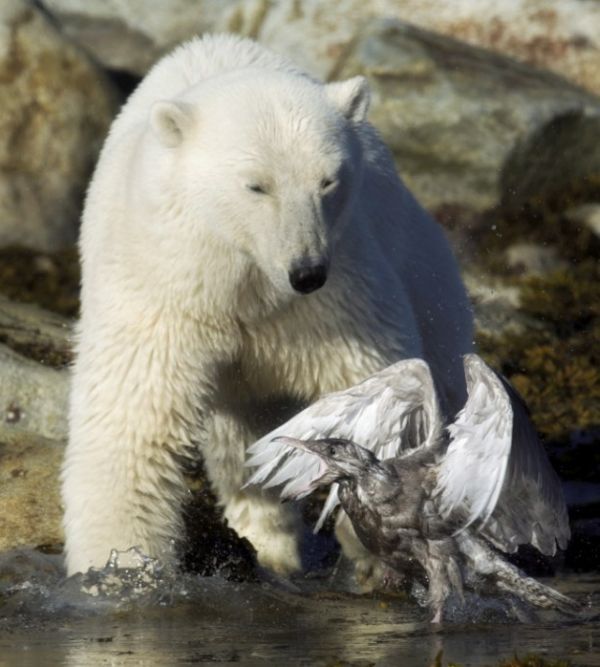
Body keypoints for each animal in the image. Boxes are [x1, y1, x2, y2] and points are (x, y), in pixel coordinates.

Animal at [61, 35, 474, 580]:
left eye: (328, 181)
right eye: (256, 185)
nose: (307, 271)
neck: (250, 276)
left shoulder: (342, 291)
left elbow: (372, 392)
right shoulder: (164, 283)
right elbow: (135, 421)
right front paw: (120, 567)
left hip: (424, 267)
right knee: (239, 446)